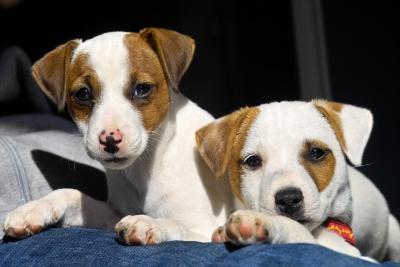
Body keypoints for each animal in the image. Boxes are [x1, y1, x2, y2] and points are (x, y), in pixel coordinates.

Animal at [3, 28, 234, 245]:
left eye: (142, 89)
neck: (147, 166)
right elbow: (72, 193)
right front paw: (32, 210)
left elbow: (177, 225)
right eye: (83, 94)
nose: (110, 139)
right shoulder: (115, 212)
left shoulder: (204, 230)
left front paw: (147, 222)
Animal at [196, 101, 400, 262]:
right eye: (253, 161)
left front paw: (262, 222)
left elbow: (299, 232)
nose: (288, 199)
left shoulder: (352, 254)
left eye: (316, 153)